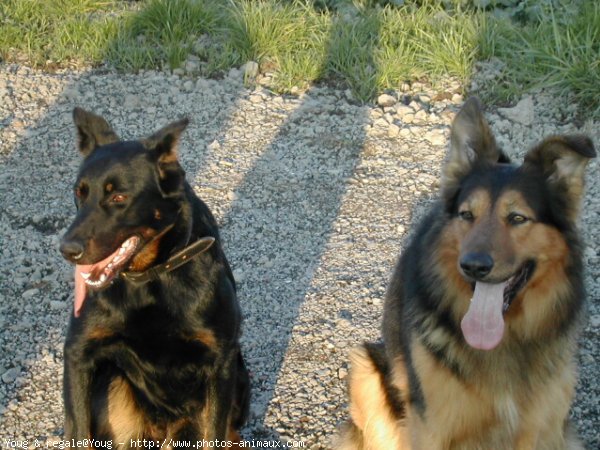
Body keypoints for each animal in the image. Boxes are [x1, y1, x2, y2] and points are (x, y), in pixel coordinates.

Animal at [58, 109, 248, 442]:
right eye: (79, 193)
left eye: (118, 197)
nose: (67, 250)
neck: (150, 278)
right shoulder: (78, 354)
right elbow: (79, 433)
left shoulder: (220, 362)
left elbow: (214, 433)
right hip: (113, 383)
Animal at [338, 99, 596, 450]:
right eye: (466, 215)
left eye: (517, 218)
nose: (472, 266)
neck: (505, 338)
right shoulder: (433, 427)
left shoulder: (538, 428)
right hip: (367, 371)